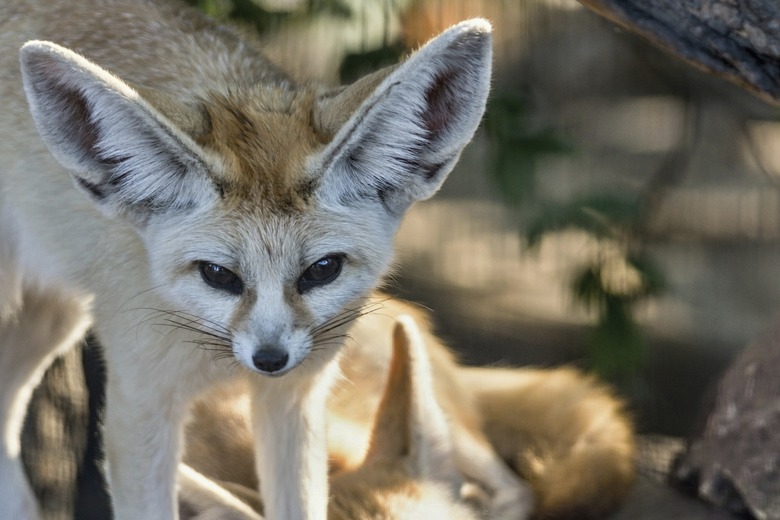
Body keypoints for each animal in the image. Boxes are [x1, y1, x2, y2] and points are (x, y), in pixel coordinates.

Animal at [0, 0, 490, 516]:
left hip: (55, 320)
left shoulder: (296, 396)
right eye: (218, 274)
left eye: (322, 270)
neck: (214, 357)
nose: (269, 359)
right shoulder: (140, 404)